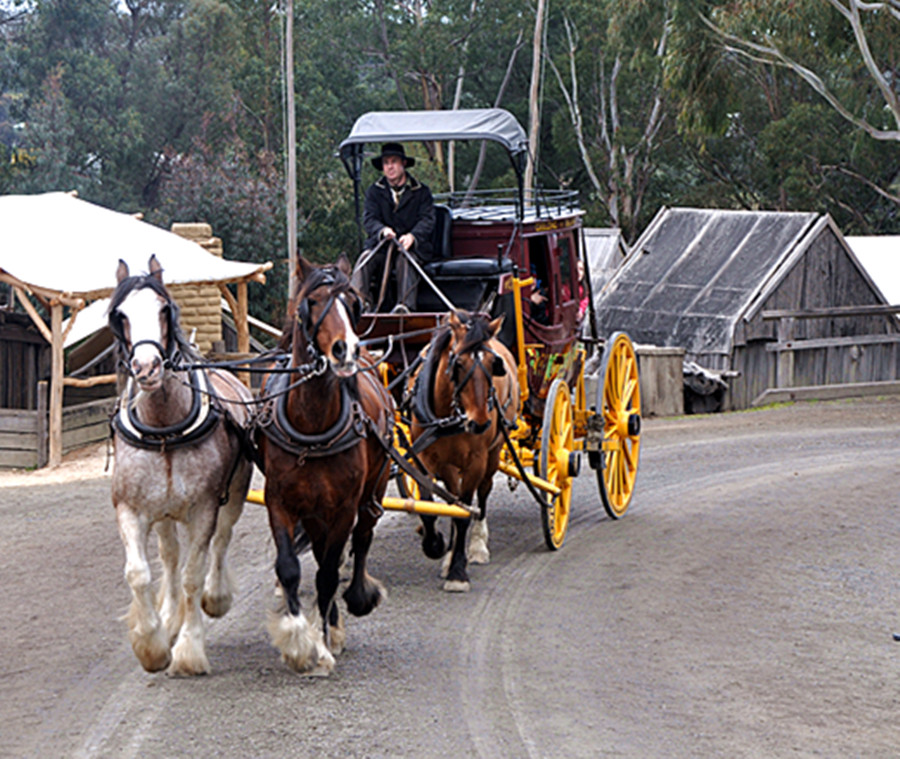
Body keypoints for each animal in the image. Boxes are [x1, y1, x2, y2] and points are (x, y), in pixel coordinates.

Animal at [111, 256, 256, 676]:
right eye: (120, 314)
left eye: (164, 309)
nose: (146, 368)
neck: (164, 429)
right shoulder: (131, 509)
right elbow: (140, 573)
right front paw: (152, 643)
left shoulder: (204, 508)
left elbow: (193, 574)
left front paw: (189, 650)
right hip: (162, 513)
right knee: (170, 557)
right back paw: (168, 618)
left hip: (233, 494)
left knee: (220, 541)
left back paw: (215, 596)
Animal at [255, 255, 392, 676]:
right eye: (312, 302)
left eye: (353, 303)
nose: (346, 349)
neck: (311, 426)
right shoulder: (280, 502)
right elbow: (291, 568)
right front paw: (299, 640)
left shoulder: (344, 507)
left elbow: (330, 573)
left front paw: (324, 644)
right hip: (314, 511)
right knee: (317, 554)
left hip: (372, 491)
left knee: (361, 539)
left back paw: (352, 604)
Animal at [410, 308, 520, 592]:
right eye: (458, 364)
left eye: (493, 365)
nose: (479, 423)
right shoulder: (426, 458)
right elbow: (432, 504)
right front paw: (436, 545)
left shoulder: (475, 461)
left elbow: (463, 512)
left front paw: (458, 572)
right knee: (453, 496)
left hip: (493, 453)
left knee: (482, 493)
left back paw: (477, 546)